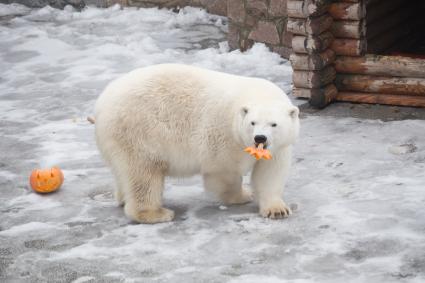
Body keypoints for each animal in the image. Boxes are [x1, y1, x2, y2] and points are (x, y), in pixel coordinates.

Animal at [94, 63, 300, 224]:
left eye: (274, 124)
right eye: (252, 123)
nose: (260, 138)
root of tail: (101, 105)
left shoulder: (280, 147)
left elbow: (270, 173)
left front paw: (277, 210)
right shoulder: (226, 136)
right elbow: (225, 171)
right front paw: (242, 195)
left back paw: (123, 198)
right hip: (139, 131)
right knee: (144, 173)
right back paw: (156, 213)